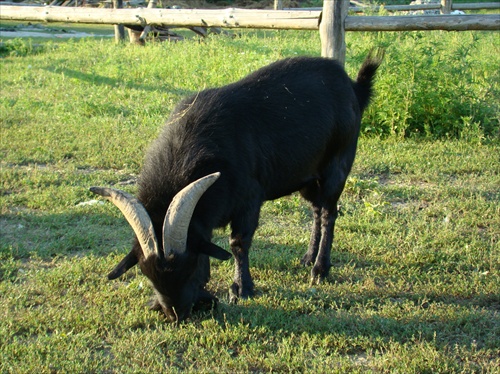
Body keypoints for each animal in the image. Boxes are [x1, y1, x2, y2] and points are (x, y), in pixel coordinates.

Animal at [92, 49, 384, 322]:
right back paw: (308, 258)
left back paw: (320, 269)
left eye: (190, 265)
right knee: (316, 210)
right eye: (146, 272)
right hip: (307, 178)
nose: (176, 313)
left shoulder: (249, 199)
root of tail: (354, 87)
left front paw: (241, 288)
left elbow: (238, 243)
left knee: (329, 213)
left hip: (337, 165)